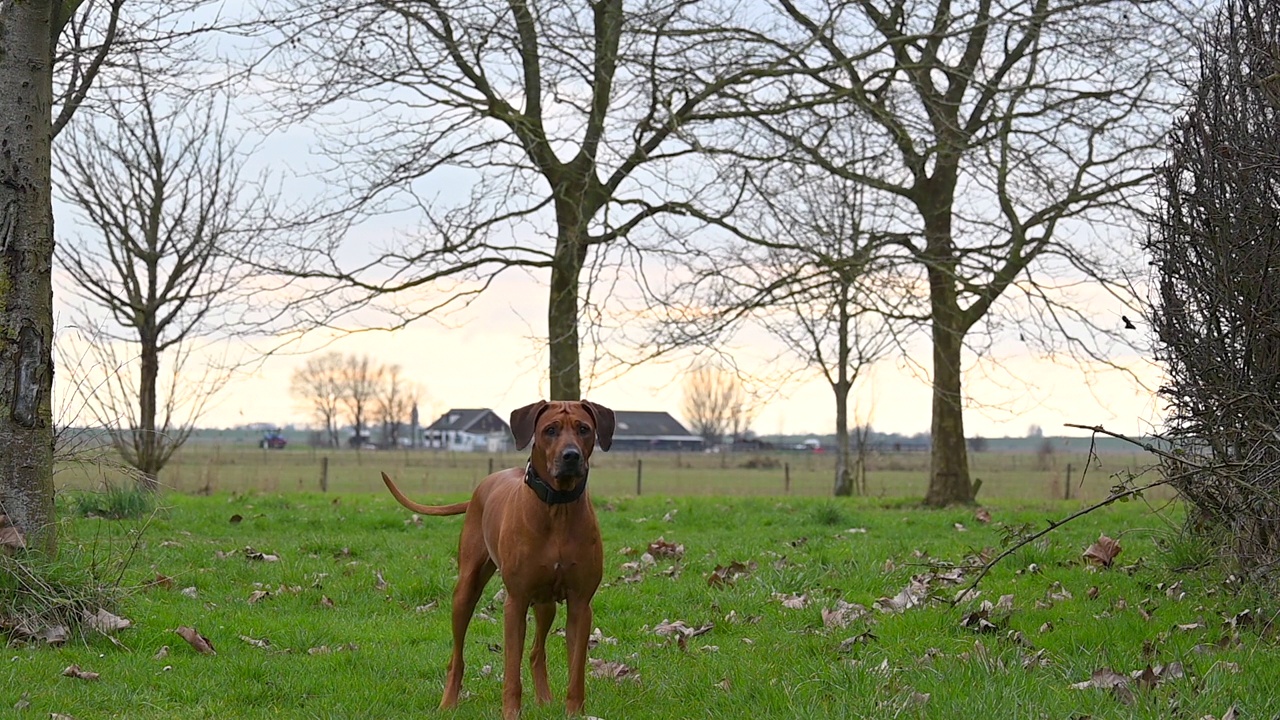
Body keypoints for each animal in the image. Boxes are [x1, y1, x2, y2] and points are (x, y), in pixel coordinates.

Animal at [378, 397, 614, 717]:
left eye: (584, 429)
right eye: (550, 430)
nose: (571, 456)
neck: (557, 507)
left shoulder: (580, 603)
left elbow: (576, 670)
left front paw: (574, 713)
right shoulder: (515, 602)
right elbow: (511, 672)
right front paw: (511, 713)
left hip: (545, 603)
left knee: (536, 651)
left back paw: (544, 699)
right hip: (466, 590)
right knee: (457, 656)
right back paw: (448, 703)